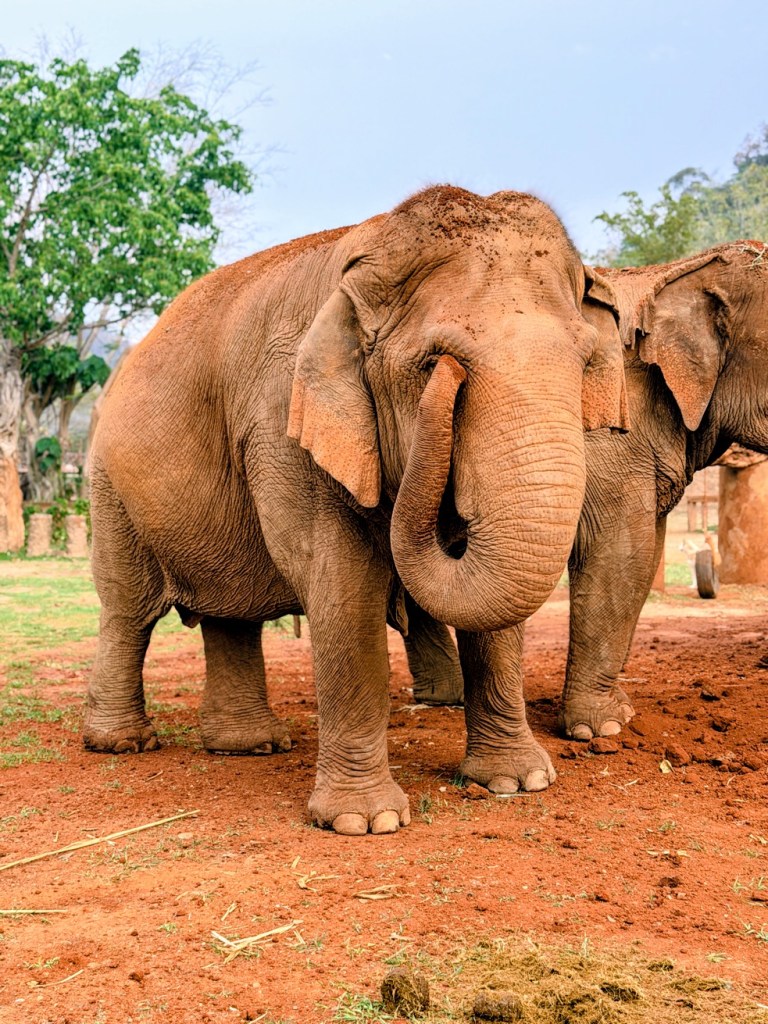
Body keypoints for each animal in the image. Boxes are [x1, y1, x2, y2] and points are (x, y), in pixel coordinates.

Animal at [86, 185, 628, 835]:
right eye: (434, 363)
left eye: (586, 361)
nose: (447, 376)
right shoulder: (283, 421)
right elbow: (342, 583)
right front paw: (366, 822)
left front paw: (516, 783)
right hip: (107, 485)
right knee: (128, 609)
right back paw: (121, 744)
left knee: (229, 612)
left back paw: (249, 746)